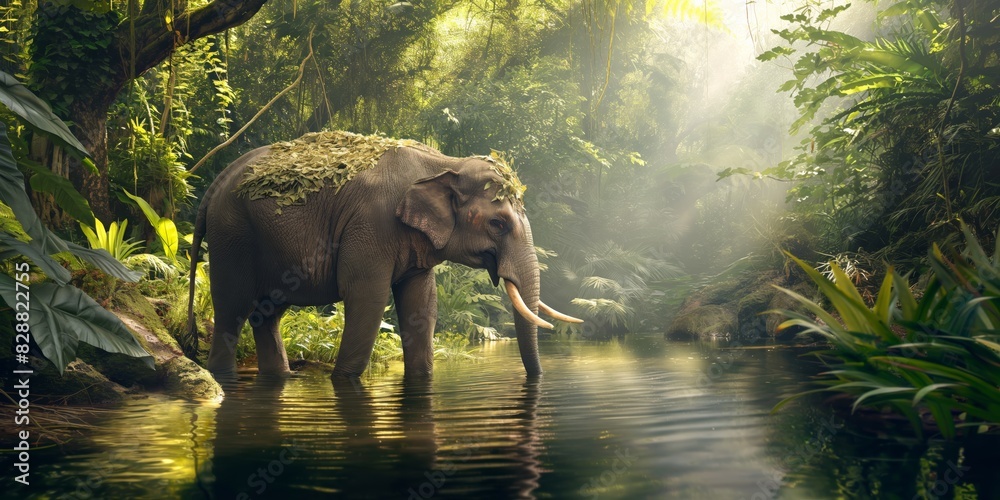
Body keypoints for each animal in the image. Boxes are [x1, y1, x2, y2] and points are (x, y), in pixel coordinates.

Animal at [187, 131, 580, 380]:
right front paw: (343, 380)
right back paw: (221, 376)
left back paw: (281, 378)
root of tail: (214, 186)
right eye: (498, 223)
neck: (443, 163)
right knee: (232, 307)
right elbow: (368, 298)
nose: (536, 381)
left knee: (267, 314)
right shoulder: (370, 224)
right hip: (232, 235)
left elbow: (422, 305)